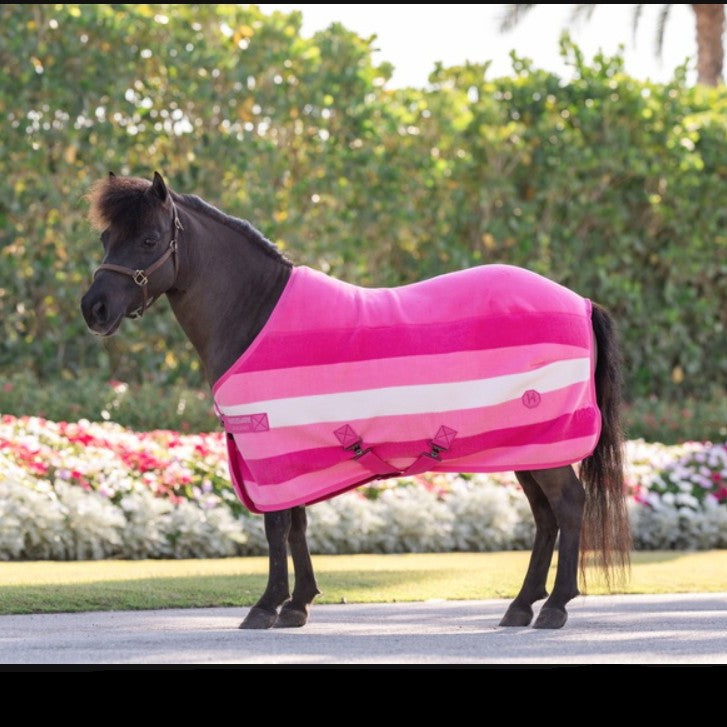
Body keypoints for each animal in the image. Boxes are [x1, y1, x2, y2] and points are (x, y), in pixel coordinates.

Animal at [81, 172, 631, 630]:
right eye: (106, 239)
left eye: (149, 240)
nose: (94, 309)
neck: (255, 313)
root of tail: (581, 302)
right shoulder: (295, 453)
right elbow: (296, 525)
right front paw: (297, 605)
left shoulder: (271, 445)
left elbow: (277, 526)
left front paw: (265, 607)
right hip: (526, 447)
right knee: (545, 517)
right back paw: (520, 606)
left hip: (545, 445)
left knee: (569, 506)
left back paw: (554, 608)